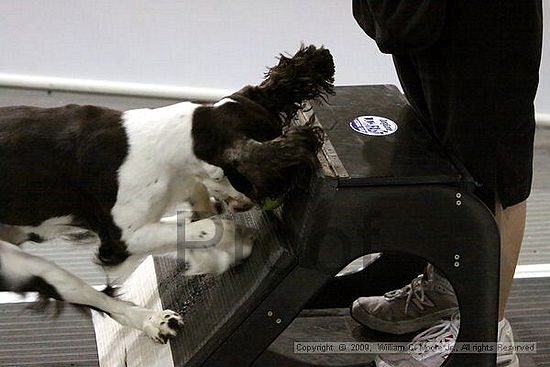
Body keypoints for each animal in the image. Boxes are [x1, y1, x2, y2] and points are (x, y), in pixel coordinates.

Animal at [0, 44, 336, 344]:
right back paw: (152, 320)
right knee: (91, 296)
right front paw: (231, 242)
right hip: (20, 262)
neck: (162, 140)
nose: (247, 203)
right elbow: (202, 228)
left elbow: (194, 210)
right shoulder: (121, 239)